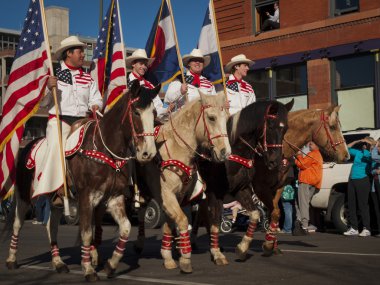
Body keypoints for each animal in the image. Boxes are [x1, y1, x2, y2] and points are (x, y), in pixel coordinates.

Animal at [5, 80, 160, 280]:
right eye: (136, 112)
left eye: (154, 113)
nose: (148, 153)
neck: (104, 149)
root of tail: (28, 145)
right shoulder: (86, 197)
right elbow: (86, 233)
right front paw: (88, 268)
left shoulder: (114, 198)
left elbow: (125, 228)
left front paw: (110, 265)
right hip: (24, 196)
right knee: (17, 223)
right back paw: (11, 260)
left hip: (56, 199)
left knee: (51, 226)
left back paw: (58, 263)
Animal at [194, 103, 348, 264]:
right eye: (332, 127)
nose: (346, 155)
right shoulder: (260, 188)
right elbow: (274, 212)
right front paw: (268, 244)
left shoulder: (277, 189)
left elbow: (275, 214)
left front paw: (272, 245)